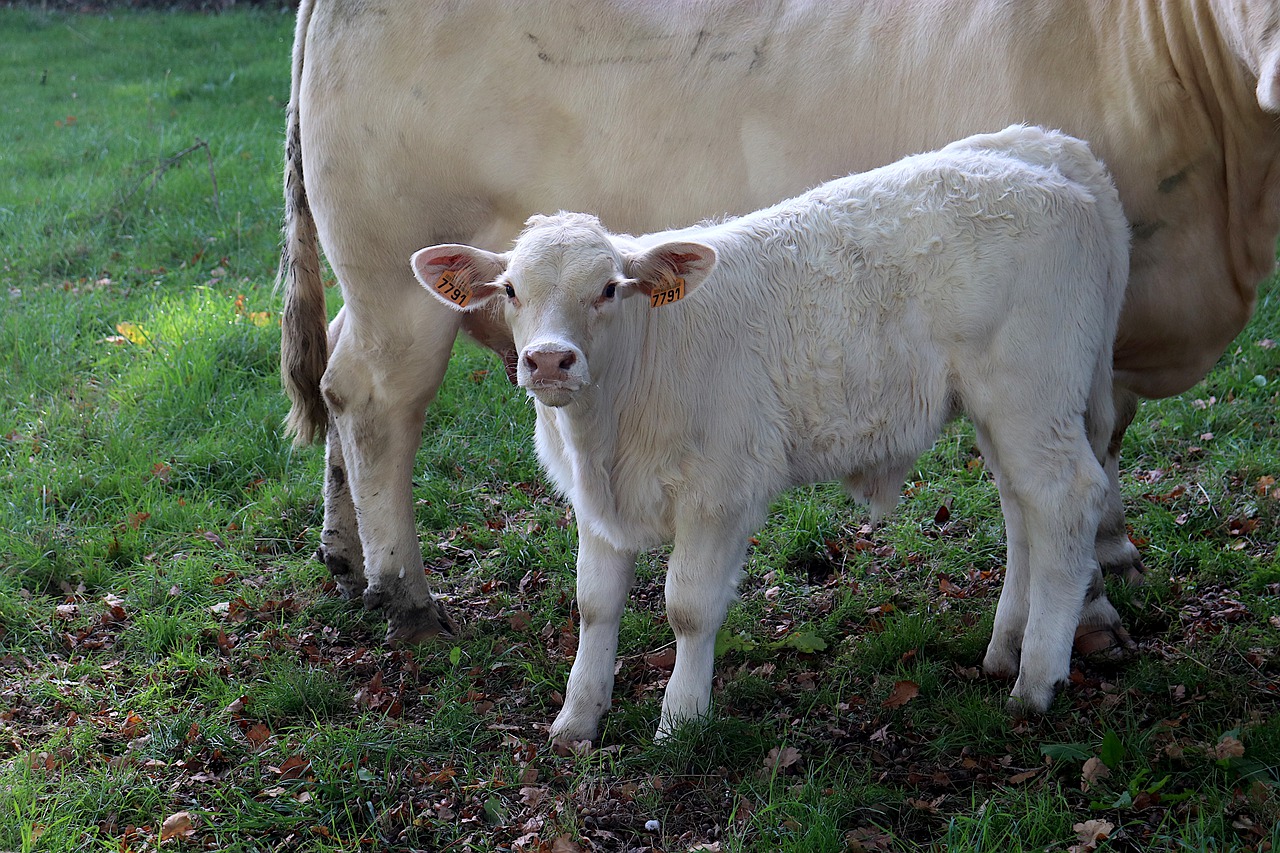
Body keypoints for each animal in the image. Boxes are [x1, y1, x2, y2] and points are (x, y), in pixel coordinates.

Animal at [280, 0, 1280, 645]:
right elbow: (1084, 458)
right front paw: (1095, 606)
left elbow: (1098, 450)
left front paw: (1112, 556)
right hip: (398, 272)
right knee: (377, 402)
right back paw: (404, 592)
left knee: (336, 386)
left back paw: (343, 553)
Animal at [409, 126, 1131, 737]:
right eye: (509, 289)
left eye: (611, 288)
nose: (550, 359)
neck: (609, 432)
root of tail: (1045, 152)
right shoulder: (595, 504)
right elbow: (594, 604)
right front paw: (577, 719)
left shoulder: (719, 490)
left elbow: (689, 606)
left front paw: (681, 720)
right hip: (1005, 407)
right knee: (1023, 506)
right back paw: (1005, 648)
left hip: (1032, 392)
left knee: (1063, 498)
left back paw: (1036, 680)